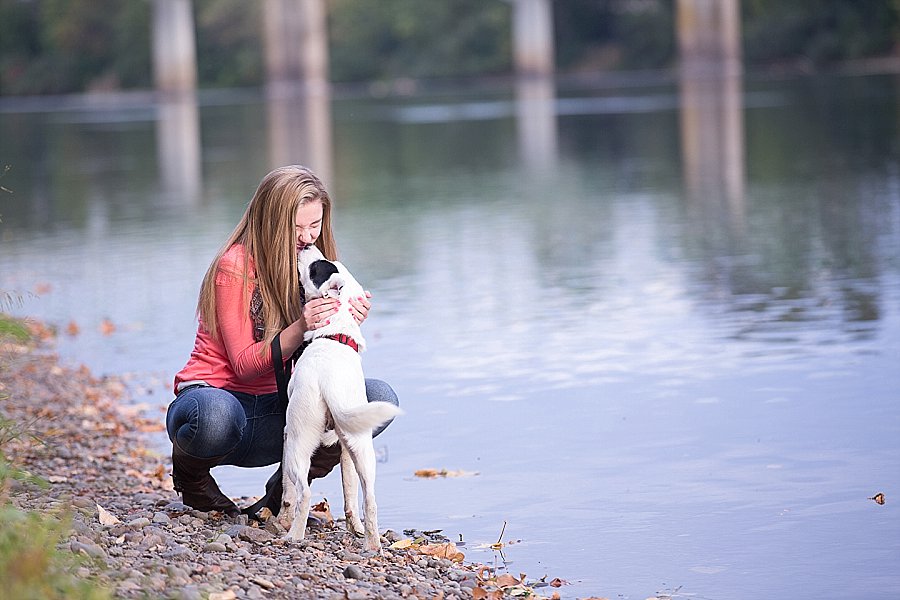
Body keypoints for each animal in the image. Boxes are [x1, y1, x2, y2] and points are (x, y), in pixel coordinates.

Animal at [276, 245, 400, 548]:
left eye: (316, 268)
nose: (307, 246)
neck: (335, 335)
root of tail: (328, 383)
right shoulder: (345, 447)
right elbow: (350, 493)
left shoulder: (286, 434)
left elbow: (287, 489)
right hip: (362, 448)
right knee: (370, 500)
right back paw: (372, 545)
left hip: (298, 441)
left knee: (304, 492)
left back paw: (293, 535)